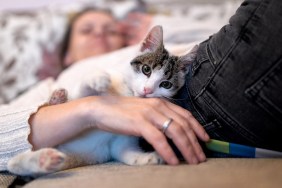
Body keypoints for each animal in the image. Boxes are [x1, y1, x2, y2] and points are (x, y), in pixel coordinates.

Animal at [7, 25, 198, 176]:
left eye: (165, 84)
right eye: (146, 69)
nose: (148, 90)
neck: (128, 93)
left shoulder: (120, 140)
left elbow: (124, 151)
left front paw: (148, 158)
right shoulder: (83, 97)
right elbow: (83, 93)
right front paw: (96, 78)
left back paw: (43, 160)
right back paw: (56, 100)